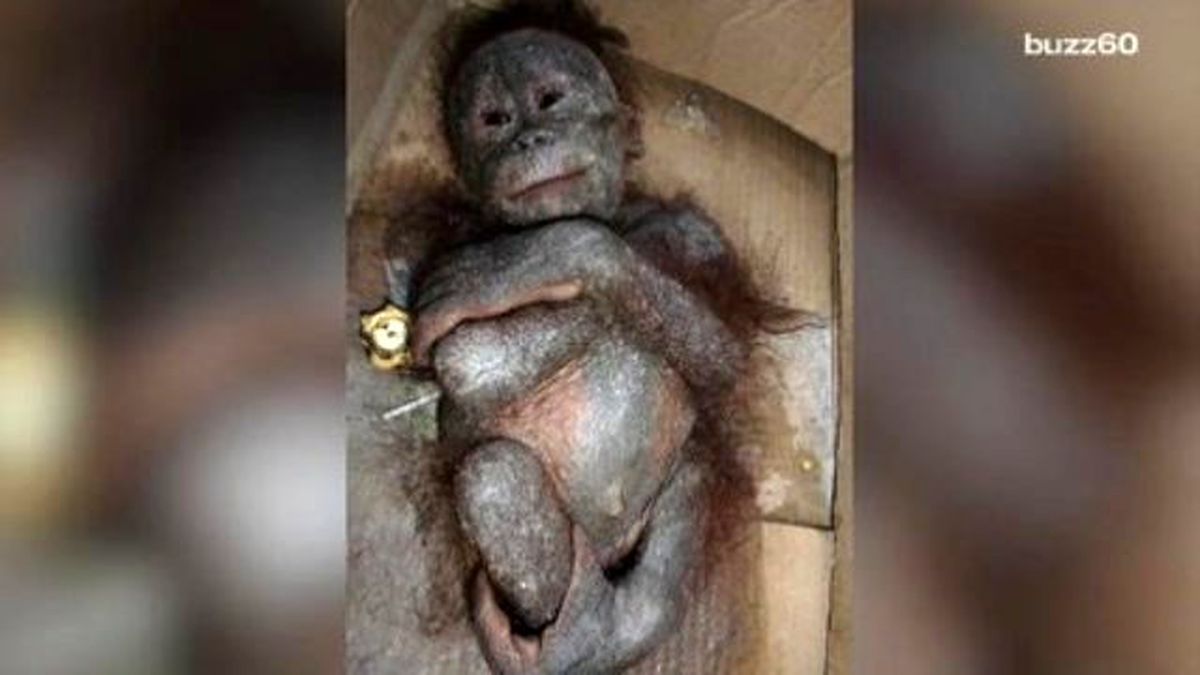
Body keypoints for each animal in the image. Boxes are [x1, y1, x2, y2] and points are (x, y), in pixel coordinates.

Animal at [366, 2, 804, 673]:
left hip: (675, 486)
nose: (527, 139)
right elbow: (464, 359)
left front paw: (545, 257)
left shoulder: (700, 230)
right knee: (494, 477)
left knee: (688, 491)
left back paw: (601, 628)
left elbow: (723, 352)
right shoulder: (421, 237)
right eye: (493, 120)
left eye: (550, 100)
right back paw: (564, 637)